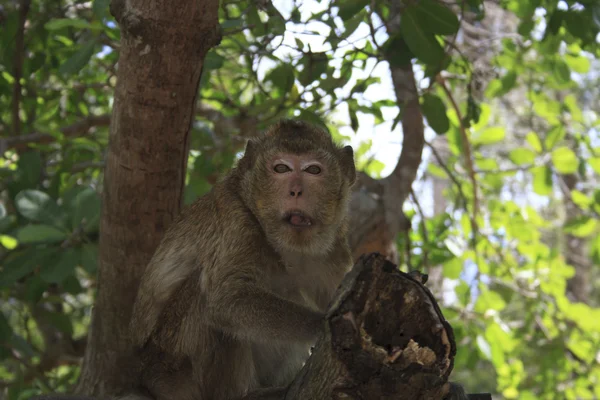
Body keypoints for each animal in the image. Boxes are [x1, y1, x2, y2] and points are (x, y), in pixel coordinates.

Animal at [123, 119, 354, 400]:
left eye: (313, 170)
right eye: (281, 168)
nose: (296, 191)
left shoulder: (336, 246)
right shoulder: (236, 219)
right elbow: (227, 298)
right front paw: (319, 326)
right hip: (170, 368)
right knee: (205, 298)